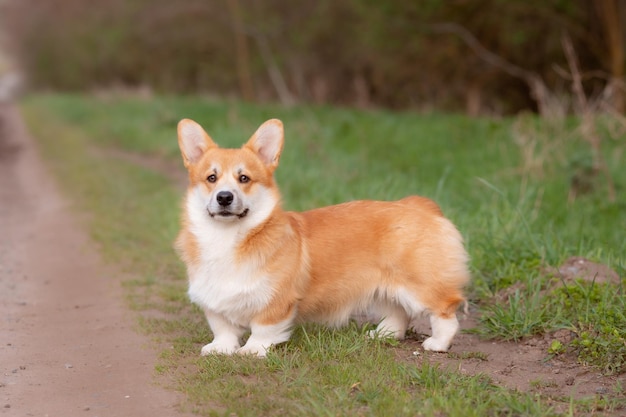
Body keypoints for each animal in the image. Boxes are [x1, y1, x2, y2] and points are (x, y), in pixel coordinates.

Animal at [174, 118, 468, 358]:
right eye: (211, 178)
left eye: (244, 178)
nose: (224, 197)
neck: (227, 236)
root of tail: (421, 205)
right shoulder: (213, 298)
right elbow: (222, 326)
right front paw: (221, 348)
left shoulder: (276, 300)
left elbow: (263, 328)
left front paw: (252, 350)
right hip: (384, 285)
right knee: (398, 312)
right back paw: (381, 334)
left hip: (420, 284)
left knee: (445, 311)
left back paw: (438, 343)